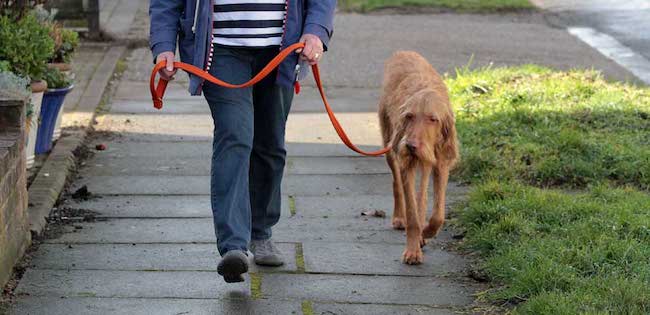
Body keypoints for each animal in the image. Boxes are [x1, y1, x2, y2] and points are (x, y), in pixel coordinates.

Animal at [378, 51, 458, 264]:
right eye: (409, 116)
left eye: (433, 119)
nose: (411, 146)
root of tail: (403, 52)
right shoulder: (407, 164)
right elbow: (412, 214)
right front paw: (412, 250)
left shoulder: (440, 164)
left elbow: (437, 214)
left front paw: (427, 232)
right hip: (390, 145)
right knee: (397, 184)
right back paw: (399, 217)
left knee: (421, 196)